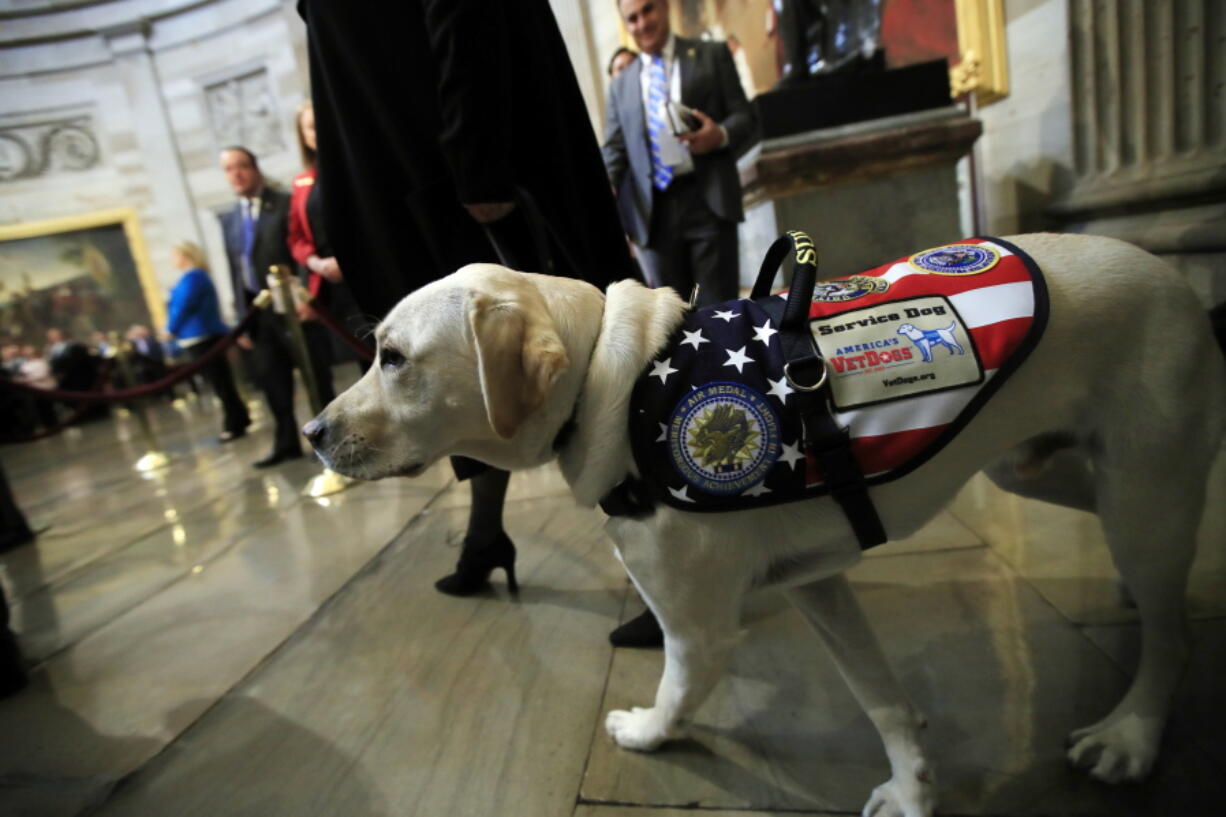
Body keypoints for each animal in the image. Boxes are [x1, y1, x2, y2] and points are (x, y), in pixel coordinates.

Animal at [306, 230, 1226, 814]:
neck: (617, 377)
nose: (311, 433)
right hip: (1047, 466)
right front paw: (913, 788)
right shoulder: (821, 587)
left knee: (1176, 635)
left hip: (1140, 492)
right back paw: (1136, 597)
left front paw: (647, 733)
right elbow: (885, 701)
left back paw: (1133, 730)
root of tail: (1174, 277)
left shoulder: (696, 627)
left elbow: (676, 694)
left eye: (394, 358)